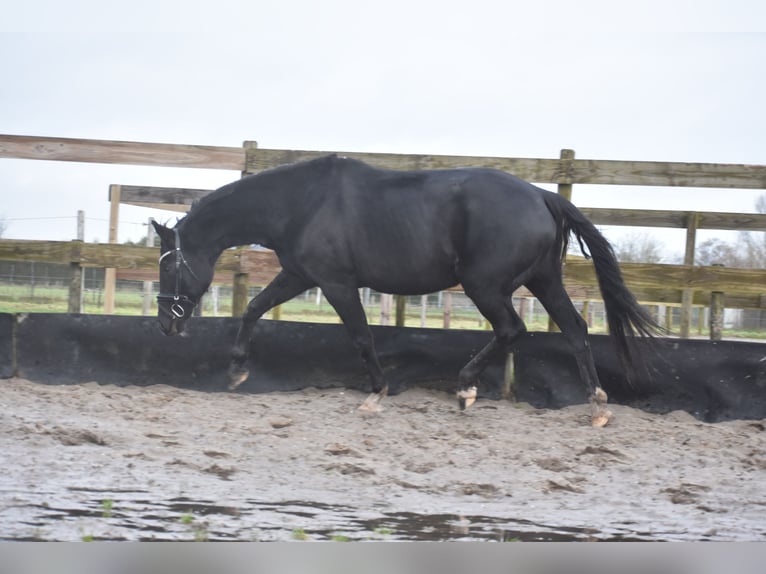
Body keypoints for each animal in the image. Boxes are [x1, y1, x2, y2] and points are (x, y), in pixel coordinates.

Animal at [152, 156, 660, 428]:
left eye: (170, 265)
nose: (166, 324)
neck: (301, 204)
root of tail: (542, 195)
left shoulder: (336, 283)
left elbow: (361, 337)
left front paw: (375, 394)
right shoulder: (299, 275)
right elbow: (254, 307)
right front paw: (238, 371)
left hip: (485, 285)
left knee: (512, 329)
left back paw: (465, 389)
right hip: (543, 279)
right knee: (574, 328)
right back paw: (597, 406)